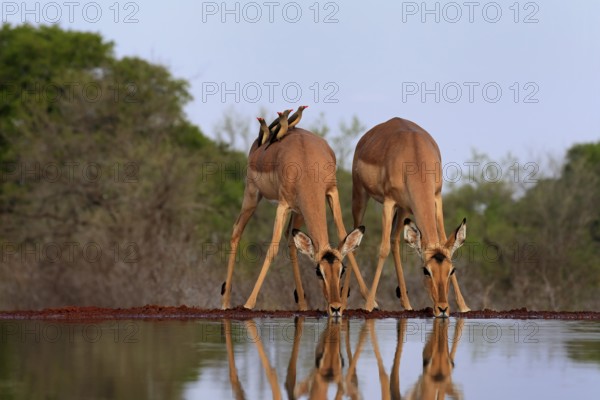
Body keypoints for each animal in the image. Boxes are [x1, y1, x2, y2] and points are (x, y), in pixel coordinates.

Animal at [221, 123, 370, 318]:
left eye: (341, 270)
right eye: (318, 271)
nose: (336, 308)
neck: (305, 162)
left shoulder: (331, 192)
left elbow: (344, 236)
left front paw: (372, 303)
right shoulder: (283, 205)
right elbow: (272, 249)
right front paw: (248, 305)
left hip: (299, 211)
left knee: (291, 241)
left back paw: (302, 305)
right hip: (252, 195)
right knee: (236, 231)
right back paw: (225, 303)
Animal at [350, 117, 472, 318]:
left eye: (451, 270)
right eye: (426, 271)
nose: (442, 308)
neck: (415, 155)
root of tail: (364, 138)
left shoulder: (435, 198)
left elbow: (444, 239)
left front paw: (464, 306)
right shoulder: (388, 202)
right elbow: (382, 249)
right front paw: (368, 306)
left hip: (404, 210)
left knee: (394, 240)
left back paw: (406, 304)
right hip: (361, 196)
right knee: (351, 241)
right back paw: (364, 301)